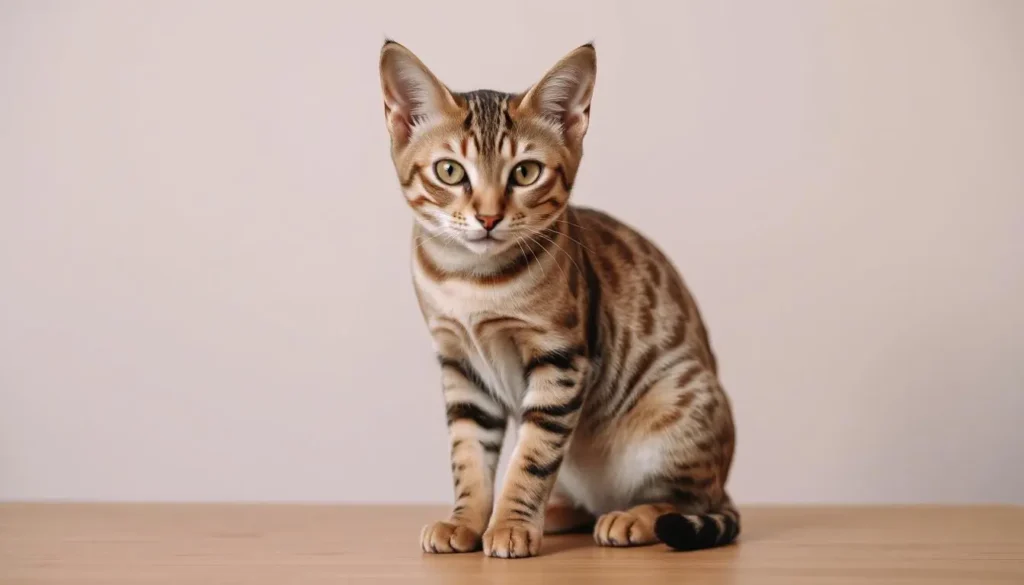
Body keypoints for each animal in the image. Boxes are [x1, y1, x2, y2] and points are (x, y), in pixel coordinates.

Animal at [376, 41, 737, 557]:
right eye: (450, 171)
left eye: (526, 173)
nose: (488, 217)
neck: (471, 282)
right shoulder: (459, 364)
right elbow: (469, 456)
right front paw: (465, 521)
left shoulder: (560, 358)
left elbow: (531, 456)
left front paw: (509, 525)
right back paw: (559, 514)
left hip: (678, 407)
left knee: (683, 502)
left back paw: (630, 518)